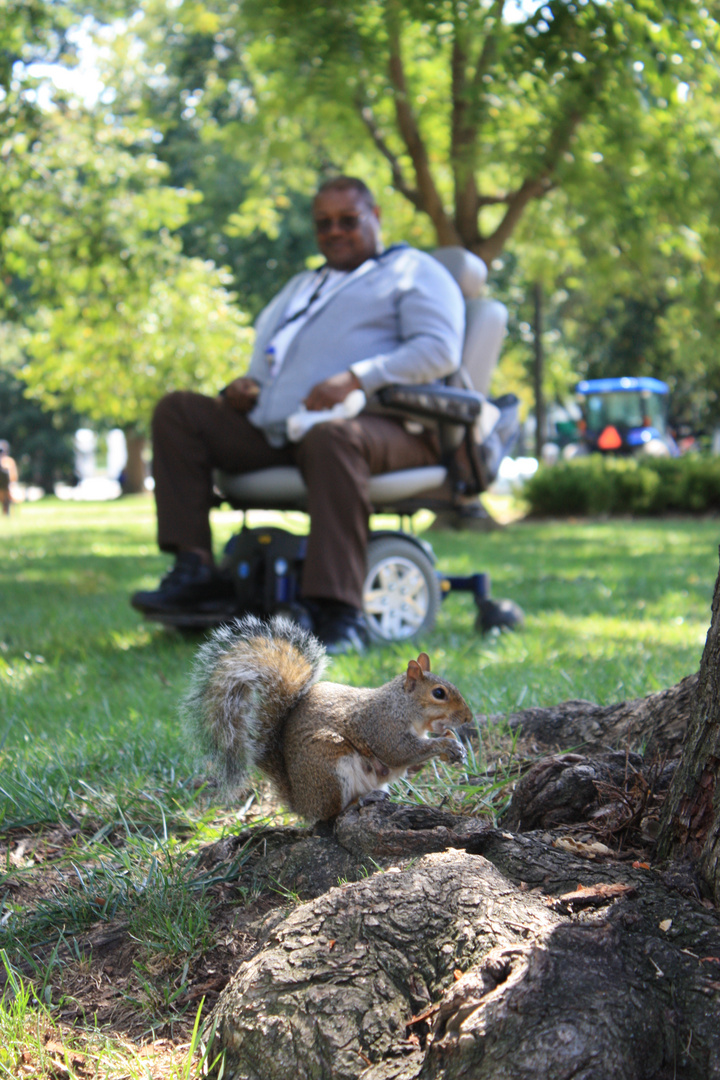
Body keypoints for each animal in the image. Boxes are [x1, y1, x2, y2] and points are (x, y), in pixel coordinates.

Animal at [183, 613, 472, 820]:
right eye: (439, 693)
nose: (468, 718)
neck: (401, 706)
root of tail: (301, 804)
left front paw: (454, 745)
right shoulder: (381, 726)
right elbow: (400, 752)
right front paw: (445, 744)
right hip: (328, 763)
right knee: (332, 815)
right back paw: (359, 802)